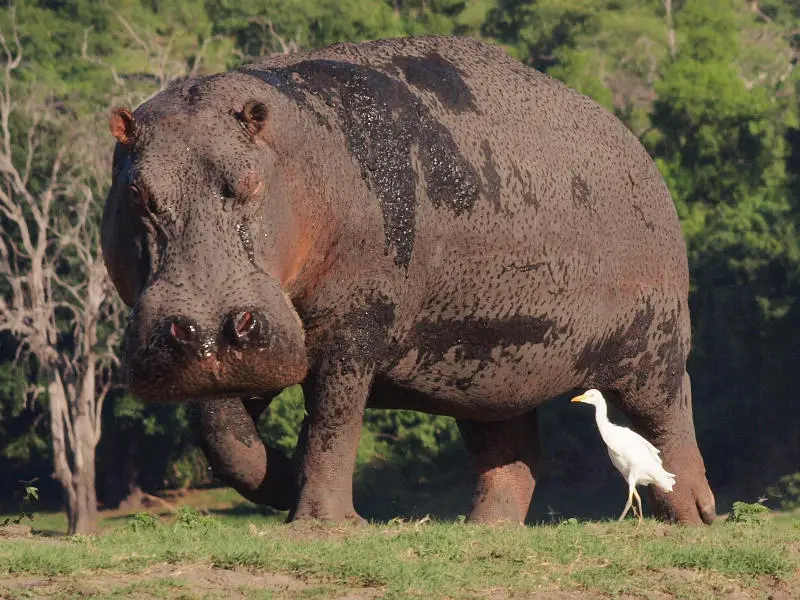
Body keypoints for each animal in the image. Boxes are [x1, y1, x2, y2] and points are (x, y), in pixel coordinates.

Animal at [102, 36, 716, 524]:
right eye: (136, 191)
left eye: (248, 180)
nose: (204, 329)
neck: (298, 165)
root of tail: (637, 147)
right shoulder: (266, 338)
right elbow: (223, 433)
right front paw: (281, 478)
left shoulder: (351, 329)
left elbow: (334, 422)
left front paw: (324, 523)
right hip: (491, 365)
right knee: (509, 456)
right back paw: (483, 532)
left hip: (652, 351)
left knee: (670, 419)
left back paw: (694, 514)